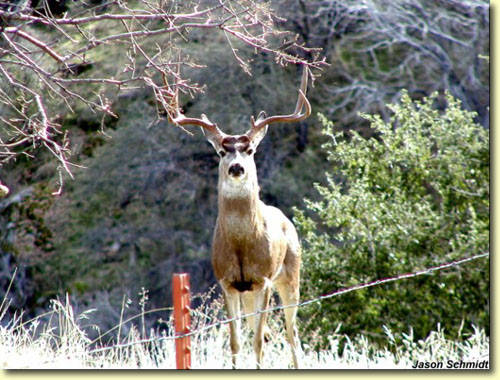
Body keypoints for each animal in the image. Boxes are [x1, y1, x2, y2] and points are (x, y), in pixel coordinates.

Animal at [166, 65, 310, 368]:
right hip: (250, 293)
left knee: (291, 333)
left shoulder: (264, 279)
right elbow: (236, 341)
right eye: (222, 150)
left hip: (291, 275)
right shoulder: (227, 281)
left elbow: (257, 342)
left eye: (251, 150)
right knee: (268, 332)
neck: (243, 244)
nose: (236, 167)